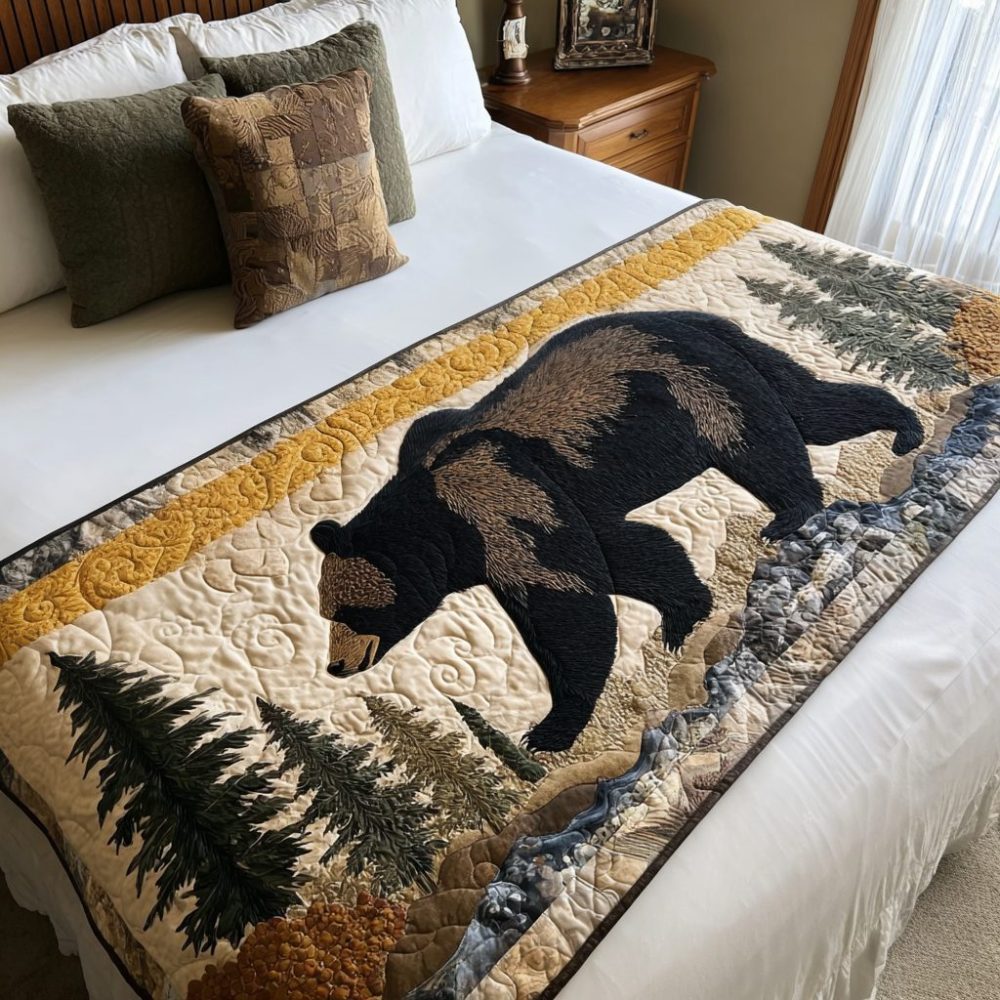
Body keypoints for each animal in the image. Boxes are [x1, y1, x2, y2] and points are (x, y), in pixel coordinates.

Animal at [310, 310, 923, 752]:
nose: (335, 666)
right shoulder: (543, 505)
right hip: (734, 369)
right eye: (325, 612)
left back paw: (813, 498)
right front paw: (684, 608)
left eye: (351, 612)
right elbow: (629, 555)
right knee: (809, 403)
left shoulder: (502, 501)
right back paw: (897, 426)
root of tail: (700, 320)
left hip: (703, 390)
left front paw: (550, 727)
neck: (437, 517)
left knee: (769, 440)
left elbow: (572, 605)